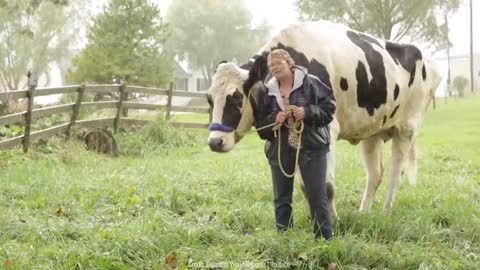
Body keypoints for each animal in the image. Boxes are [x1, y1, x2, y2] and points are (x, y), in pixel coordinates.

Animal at [206, 20, 438, 215]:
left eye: (236, 99)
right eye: (209, 99)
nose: (215, 142)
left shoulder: (328, 130)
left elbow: (326, 186)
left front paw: (332, 220)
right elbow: (305, 185)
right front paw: (313, 218)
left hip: (407, 129)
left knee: (395, 174)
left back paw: (386, 213)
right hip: (372, 131)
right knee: (375, 174)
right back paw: (363, 213)